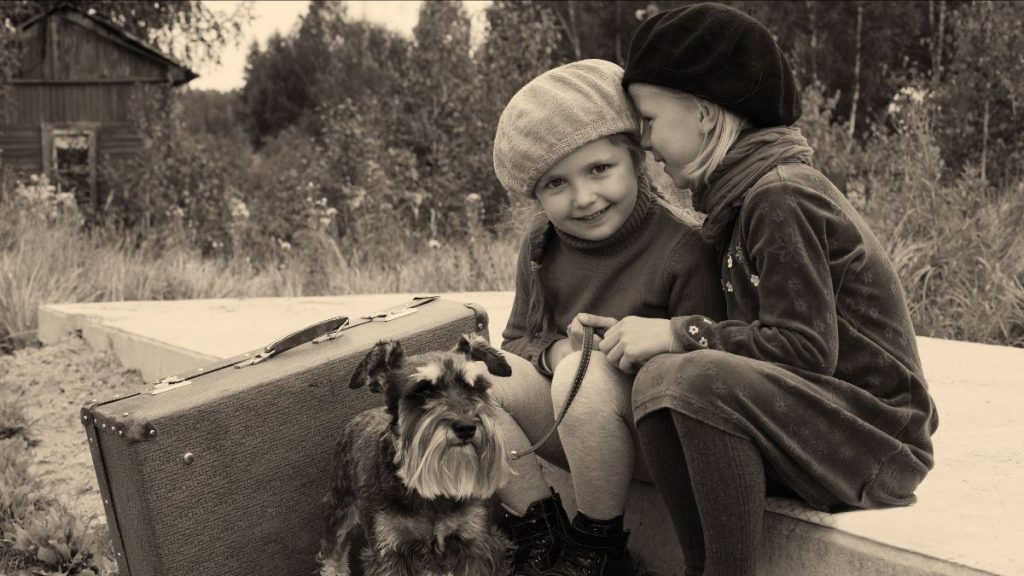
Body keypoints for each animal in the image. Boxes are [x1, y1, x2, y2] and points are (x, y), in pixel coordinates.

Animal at [317, 332, 512, 573]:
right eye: (423, 391)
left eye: (475, 387)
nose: (467, 427)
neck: (433, 493)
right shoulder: (389, 553)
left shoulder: (475, 543)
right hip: (339, 510)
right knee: (333, 554)